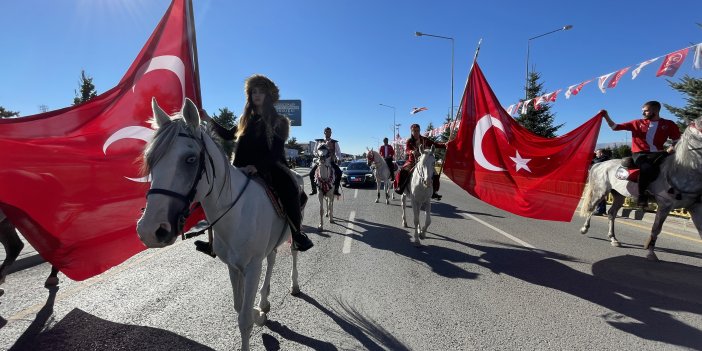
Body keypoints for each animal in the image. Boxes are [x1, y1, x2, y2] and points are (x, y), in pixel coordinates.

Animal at [136, 97, 304, 350]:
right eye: (151, 160)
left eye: (190, 159)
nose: (149, 230)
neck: (236, 212)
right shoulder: (234, 267)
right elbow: (239, 306)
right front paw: (259, 311)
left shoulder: (252, 267)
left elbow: (244, 320)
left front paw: (255, 314)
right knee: (273, 258)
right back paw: (264, 301)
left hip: (294, 231)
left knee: (293, 253)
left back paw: (293, 285)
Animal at [580, 116, 702, 262]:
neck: (680, 171)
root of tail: (600, 164)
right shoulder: (664, 206)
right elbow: (656, 229)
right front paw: (650, 252)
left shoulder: (694, 207)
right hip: (601, 191)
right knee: (591, 207)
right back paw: (584, 228)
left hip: (619, 195)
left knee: (611, 213)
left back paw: (613, 238)